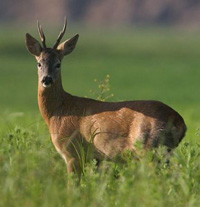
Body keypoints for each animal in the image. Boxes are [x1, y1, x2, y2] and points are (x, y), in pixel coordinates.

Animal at [25, 18, 186, 176]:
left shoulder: (72, 153)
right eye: (39, 63)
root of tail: (180, 122)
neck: (58, 112)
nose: (46, 79)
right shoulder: (97, 158)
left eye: (58, 64)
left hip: (149, 148)